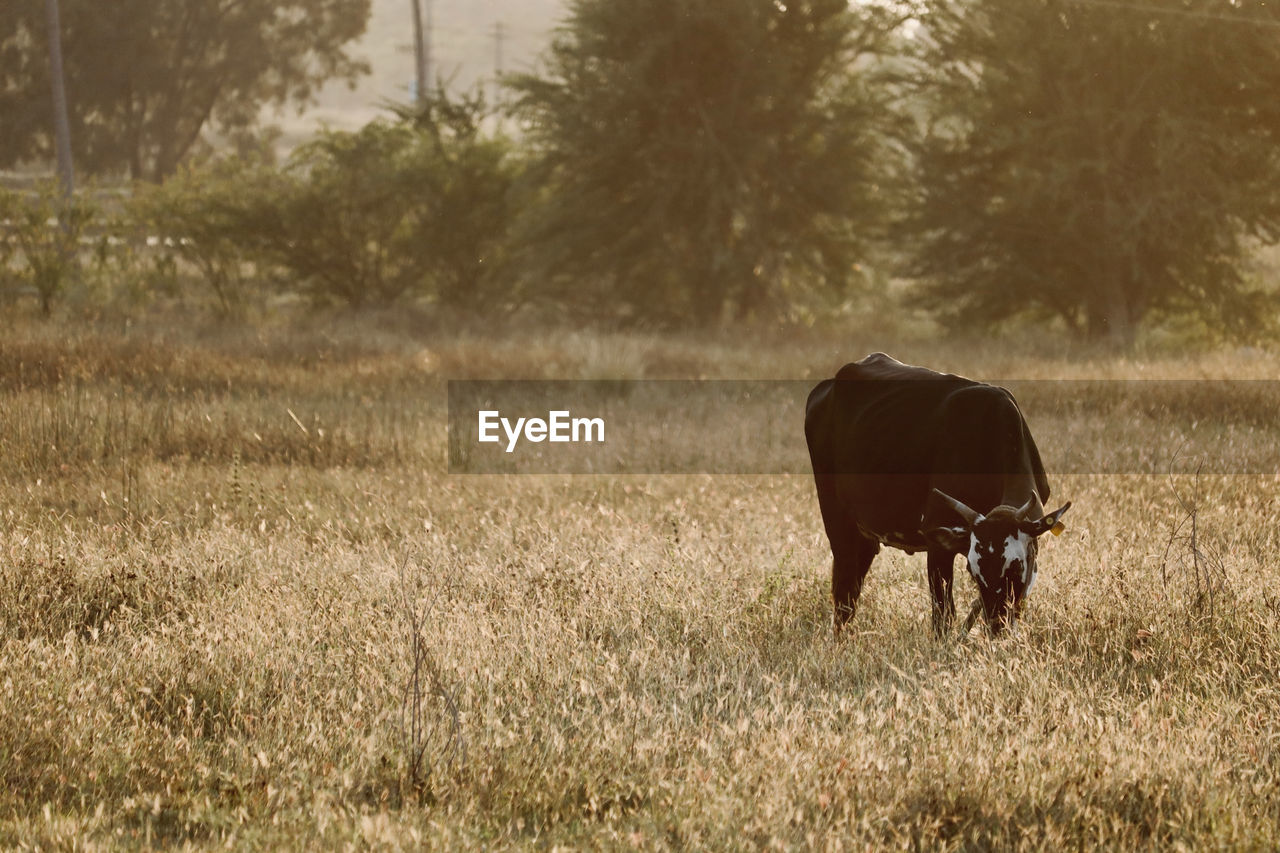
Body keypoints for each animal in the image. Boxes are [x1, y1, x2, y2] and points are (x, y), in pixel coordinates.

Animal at [804, 353, 1070, 637]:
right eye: (973, 571)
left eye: (1016, 566)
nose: (997, 626)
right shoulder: (937, 542)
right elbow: (944, 616)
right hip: (836, 519)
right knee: (844, 591)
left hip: (864, 532)